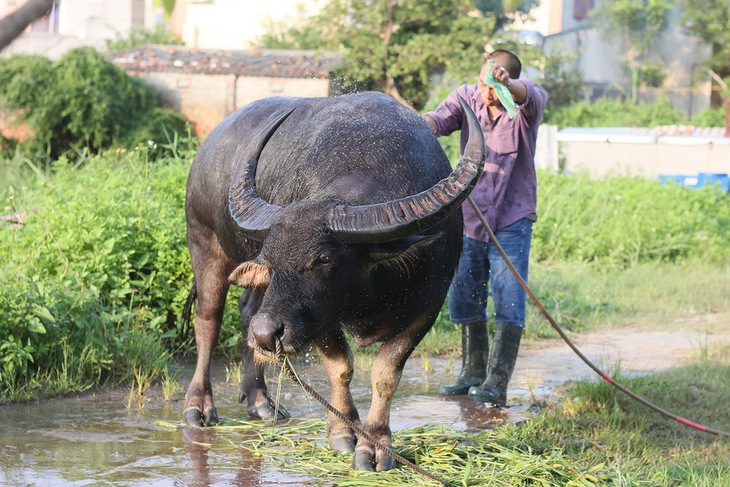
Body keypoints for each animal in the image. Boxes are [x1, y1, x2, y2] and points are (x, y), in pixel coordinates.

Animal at [182, 89, 484, 470]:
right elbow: (340, 367)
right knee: (208, 320)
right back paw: (198, 407)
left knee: (248, 311)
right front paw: (343, 433)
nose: (267, 335)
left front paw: (376, 445)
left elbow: (385, 374)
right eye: (271, 257)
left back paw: (261, 401)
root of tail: (207, 149)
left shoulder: (427, 307)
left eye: (323, 259)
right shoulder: (319, 318)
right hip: (204, 242)